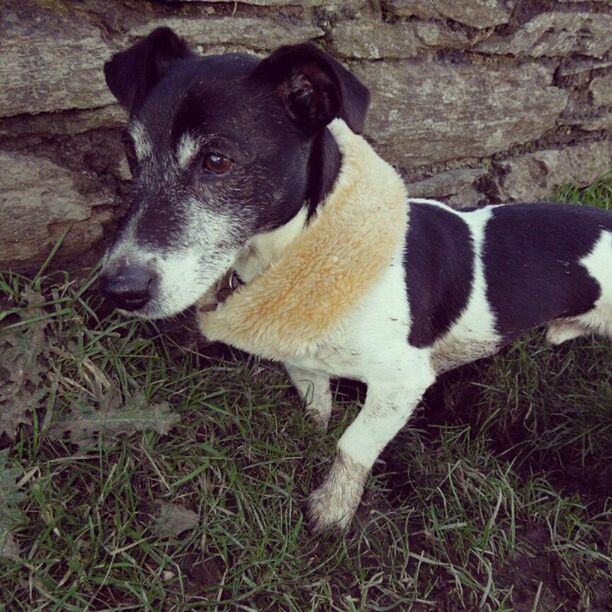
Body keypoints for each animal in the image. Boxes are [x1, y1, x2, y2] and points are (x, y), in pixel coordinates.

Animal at [100, 28, 612, 532]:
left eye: (217, 160)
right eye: (130, 152)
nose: (118, 290)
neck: (297, 250)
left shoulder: (402, 382)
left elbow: (354, 443)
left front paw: (333, 508)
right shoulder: (301, 354)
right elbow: (317, 404)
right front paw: (309, 434)